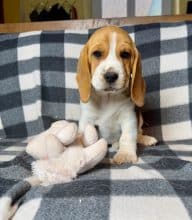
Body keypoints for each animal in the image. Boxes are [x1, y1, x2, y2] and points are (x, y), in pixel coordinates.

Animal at [76, 25, 157, 163]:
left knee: (138, 134)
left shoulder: (129, 118)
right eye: (97, 53)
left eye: (125, 54)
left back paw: (145, 139)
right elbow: (85, 136)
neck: (108, 98)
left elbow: (127, 137)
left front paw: (126, 154)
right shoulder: (87, 120)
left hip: (140, 119)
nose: (110, 76)